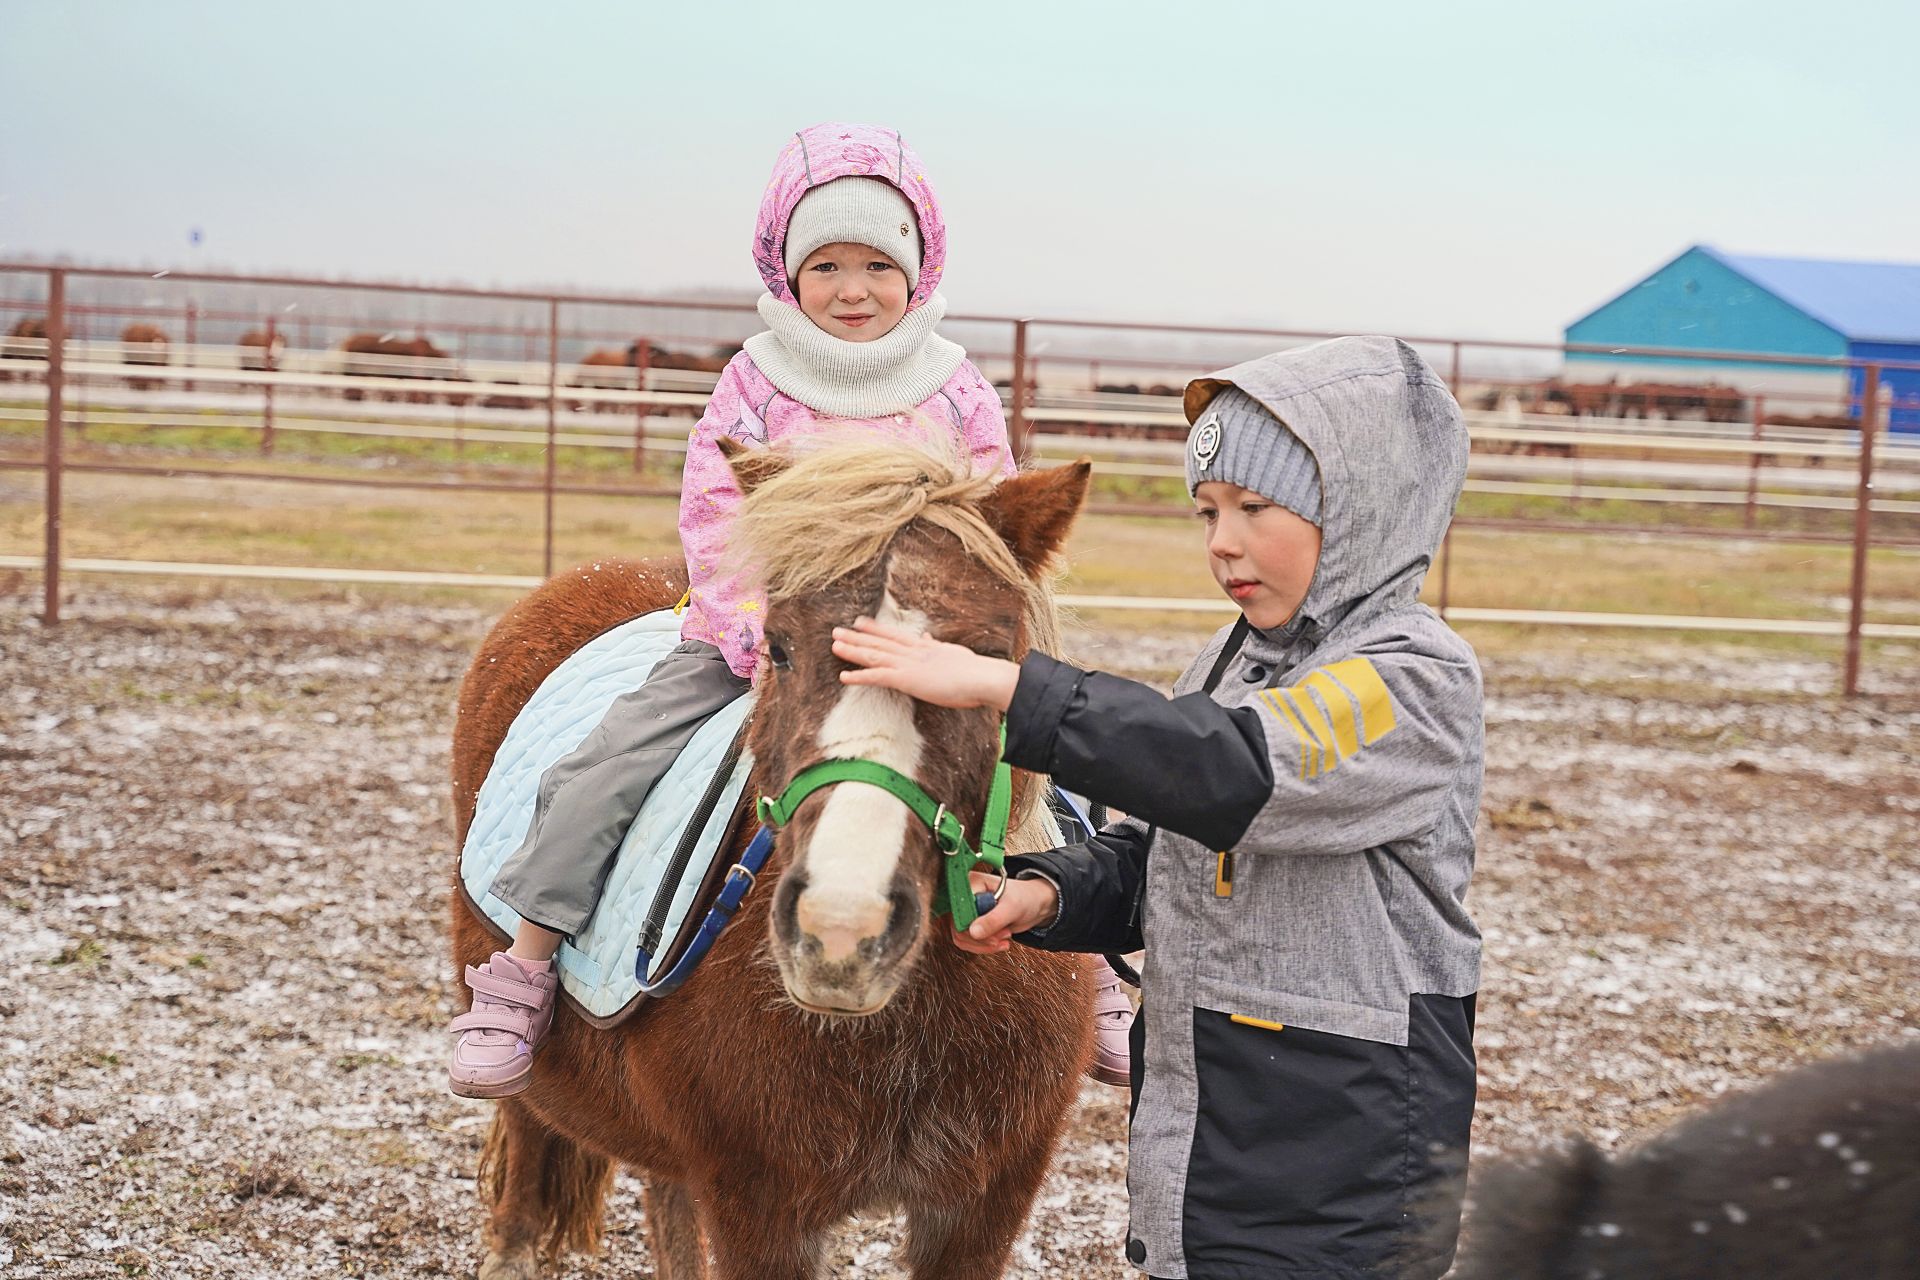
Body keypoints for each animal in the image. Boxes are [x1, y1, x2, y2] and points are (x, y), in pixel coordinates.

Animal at [449, 441, 1105, 1280]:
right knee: (528, 1174)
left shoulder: (987, 1205)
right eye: (780, 649)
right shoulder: (758, 1206)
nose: (841, 932)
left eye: (988, 658)